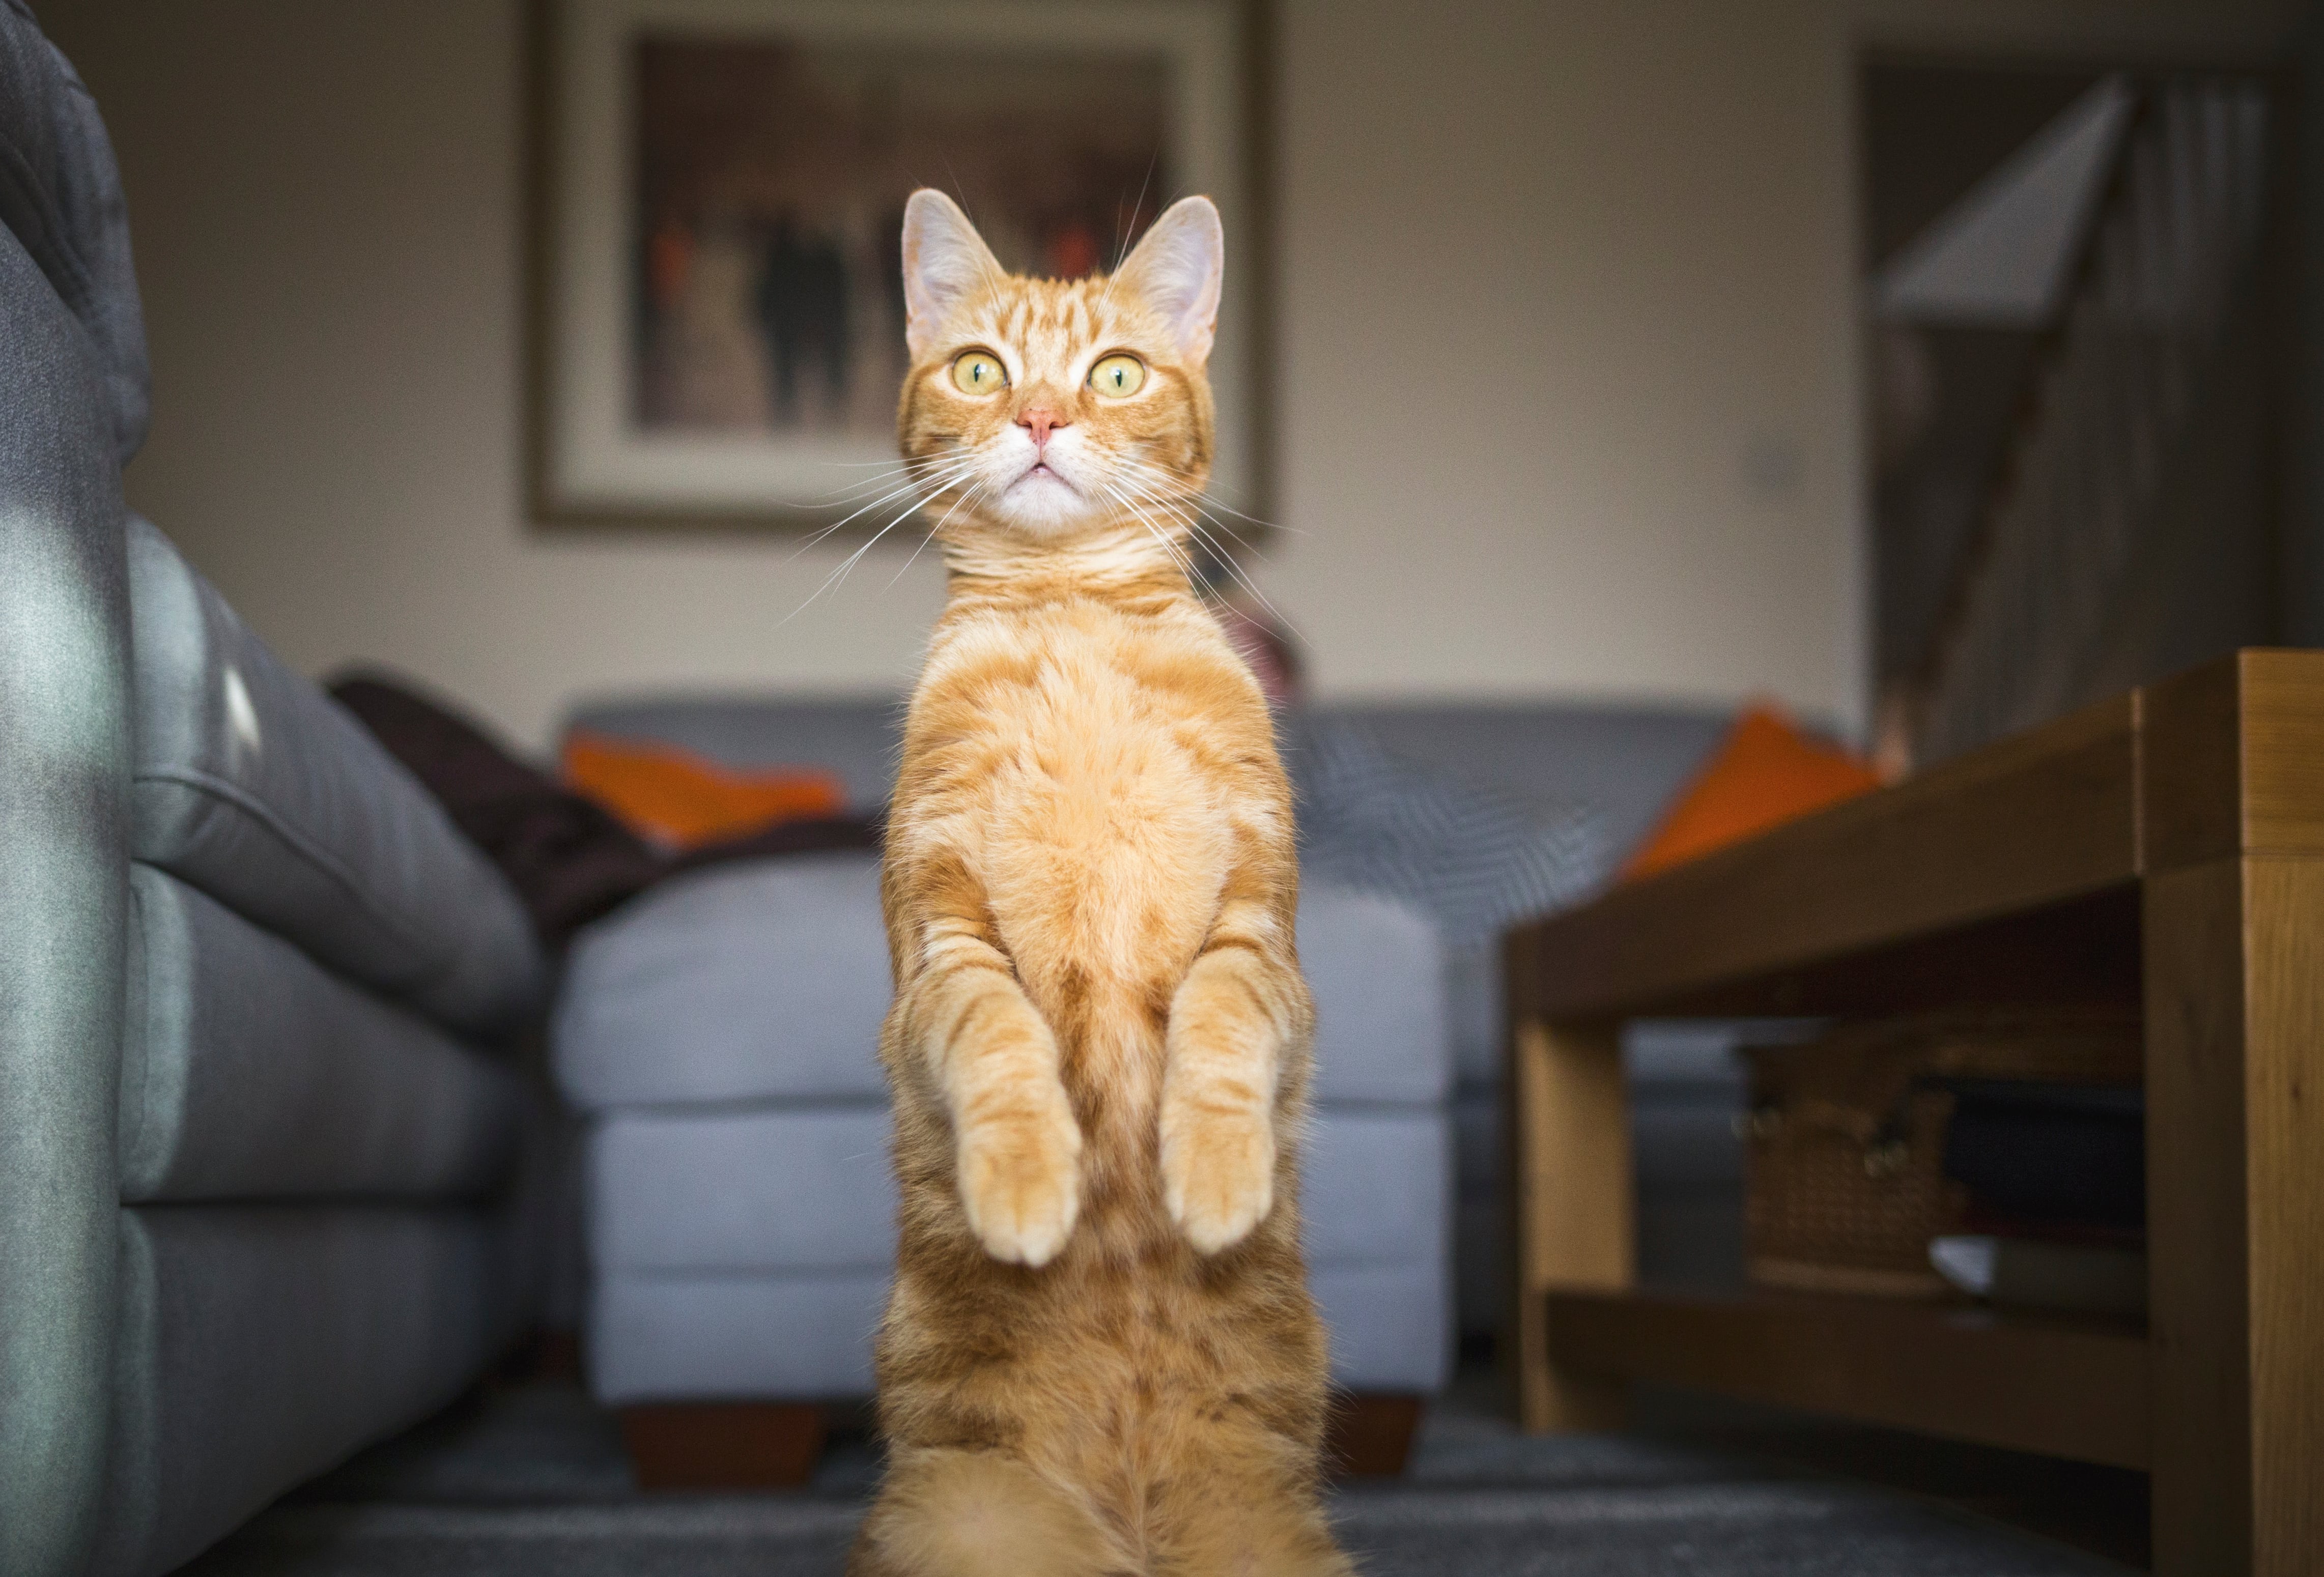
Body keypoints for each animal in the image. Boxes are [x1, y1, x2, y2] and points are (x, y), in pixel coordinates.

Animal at [860, 188, 1357, 1577]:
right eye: (982, 369)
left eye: (1116, 373)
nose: (1040, 419)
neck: (1071, 624)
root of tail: (1133, 1543)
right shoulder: (941, 940)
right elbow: (1001, 1042)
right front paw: (1030, 1186)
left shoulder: (1260, 929)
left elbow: (1223, 1025)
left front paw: (1219, 1175)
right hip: (960, 1527)